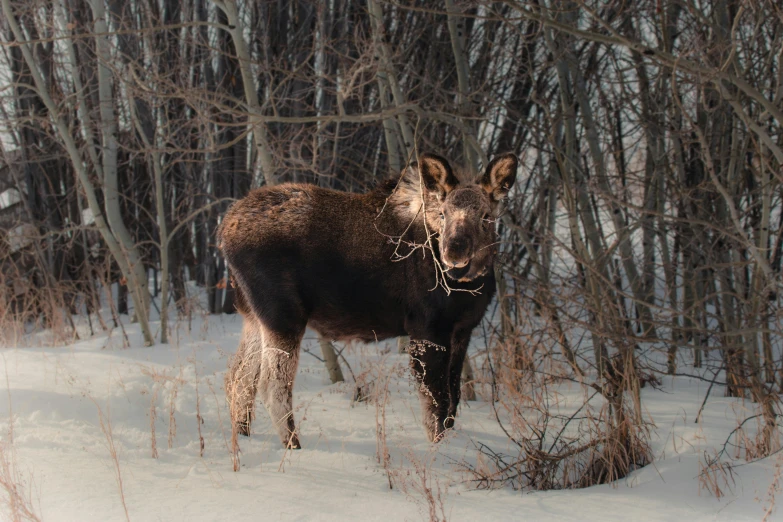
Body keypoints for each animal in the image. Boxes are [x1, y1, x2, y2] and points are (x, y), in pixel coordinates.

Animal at [217, 150, 516, 446]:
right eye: (443, 214)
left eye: (486, 216)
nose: (454, 253)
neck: (468, 288)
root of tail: (223, 232)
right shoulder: (427, 328)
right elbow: (437, 404)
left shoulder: (462, 330)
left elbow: (453, 399)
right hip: (282, 314)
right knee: (271, 386)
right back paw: (293, 445)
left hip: (253, 316)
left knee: (237, 377)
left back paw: (243, 434)